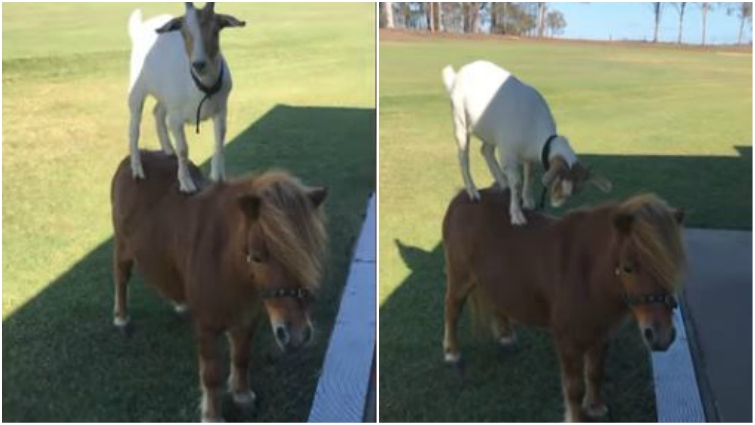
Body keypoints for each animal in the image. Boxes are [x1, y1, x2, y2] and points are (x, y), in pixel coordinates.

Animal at [110, 150, 327, 422]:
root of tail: (133, 159)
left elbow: (242, 357)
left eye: (309, 254)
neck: (228, 267)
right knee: (121, 277)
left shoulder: (247, 319)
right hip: (122, 247)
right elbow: (212, 374)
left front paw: (242, 395)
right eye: (257, 256)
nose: (297, 337)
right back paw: (121, 319)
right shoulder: (206, 326)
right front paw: (212, 415)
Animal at [128, 2, 245, 193]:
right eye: (184, 32)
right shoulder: (176, 119)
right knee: (134, 128)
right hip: (136, 90)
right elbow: (183, 149)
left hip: (165, 96)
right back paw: (137, 170)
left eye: (215, 30)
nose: (199, 64)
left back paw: (168, 149)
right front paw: (186, 184)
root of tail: (139, 28)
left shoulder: (221, 110)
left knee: (157, 112)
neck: (202, 88)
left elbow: (219, 140)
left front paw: (218, 176)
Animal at [442, 60, 611, 225]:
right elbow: (517, 182)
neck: (534, 125)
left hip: (491, 130)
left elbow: (529, 174)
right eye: (558, 183)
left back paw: (503, 181)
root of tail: (457, 76)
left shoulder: (527, 154)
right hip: (459, 118)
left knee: (486, 150)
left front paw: (528, 202)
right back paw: (473, 192)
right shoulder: (508, 153)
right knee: (463, 155)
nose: (556, 203)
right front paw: (517, 215)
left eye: (574, 191)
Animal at [442, 187, 685, 422]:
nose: (662, 336)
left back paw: (506, 336)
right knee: (452, 309)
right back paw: (453, 353)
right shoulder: (567, 340)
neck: (587, 274)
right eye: (628, 267)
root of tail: (461, 197)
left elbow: (595, 373)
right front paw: (577, 417)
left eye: (672, 267)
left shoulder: (602, 334)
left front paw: (595, 407)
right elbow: (574, 388)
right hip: (460, 277)